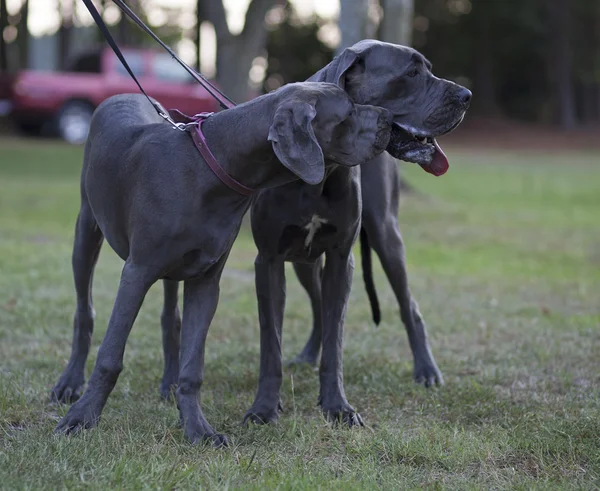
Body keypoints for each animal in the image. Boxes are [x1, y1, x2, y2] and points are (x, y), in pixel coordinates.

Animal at [52, 82, 394, 448]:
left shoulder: (205, 279)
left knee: (170, 317)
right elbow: (109, 357)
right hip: (87, 231)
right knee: (84, 311)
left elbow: (193, 367)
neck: (211, 167)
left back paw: (168, 384)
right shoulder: (137, 272)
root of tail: (120, 95)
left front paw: (197, 429)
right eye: (348, 113)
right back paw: (69, 383)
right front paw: (81, 419)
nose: (389, 118)